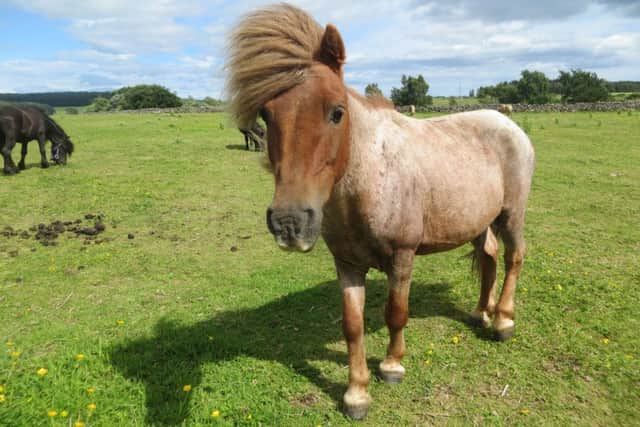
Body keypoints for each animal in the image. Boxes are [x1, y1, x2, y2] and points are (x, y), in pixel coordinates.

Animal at [225, 4, 536, 422]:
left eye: (337, 112)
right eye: (266, 114)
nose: (289, 223)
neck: (371, 178)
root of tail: (507, 124)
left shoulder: (402, 257)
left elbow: (395, 312)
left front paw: (391, 366)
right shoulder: (347, 264)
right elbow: (352, 325)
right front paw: (357, 393)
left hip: (510, 214)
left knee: (514, 257)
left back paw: (502, 320)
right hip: (479, 221)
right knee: (489, 258)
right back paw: (479, 313)